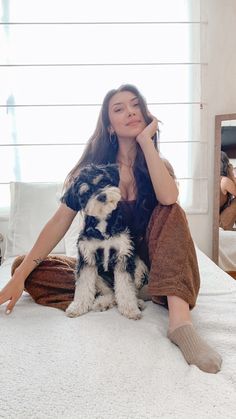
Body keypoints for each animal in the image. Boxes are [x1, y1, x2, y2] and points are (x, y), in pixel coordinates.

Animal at [62, 165, 148, 322]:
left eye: (102, 182)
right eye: (86, 193)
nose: (101, 196)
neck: (103, 224)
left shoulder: (123, 255)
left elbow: (126, 288)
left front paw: (130, 309)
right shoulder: (87, 259)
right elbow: (83, 287)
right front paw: (77, 307)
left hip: (138, 267)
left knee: (131, 285)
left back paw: (137, 303)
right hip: (99, 278)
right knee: (111, 293)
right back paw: (102, 303)